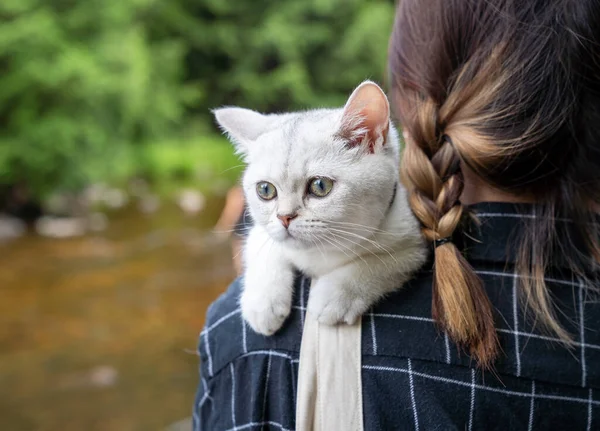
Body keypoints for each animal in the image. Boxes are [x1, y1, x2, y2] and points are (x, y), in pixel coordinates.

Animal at [216, 82, 426, 338]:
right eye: (265, 190)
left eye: (320, 186)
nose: (284, 217)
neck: (318, 253)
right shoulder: (261, 232)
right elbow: (262, 247)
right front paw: (263, 303)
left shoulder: (412, 244)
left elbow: (379, 262)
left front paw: (335, 297)